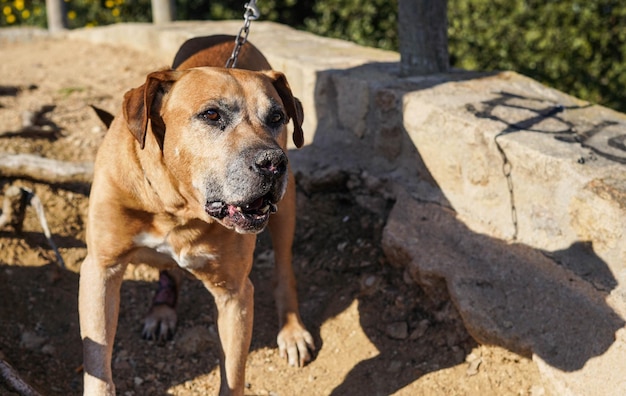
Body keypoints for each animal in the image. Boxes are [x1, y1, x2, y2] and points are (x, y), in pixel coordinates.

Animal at [78, 35, 312, 394]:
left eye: (276, 117)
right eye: (211, 114)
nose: (273, 163)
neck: (176, 205)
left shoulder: (234, 294)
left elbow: (233, 375)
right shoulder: (101, 269)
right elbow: (97, 363)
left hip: (286, 209)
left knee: (284, 268)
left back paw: (292, 329)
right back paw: (163, 308)